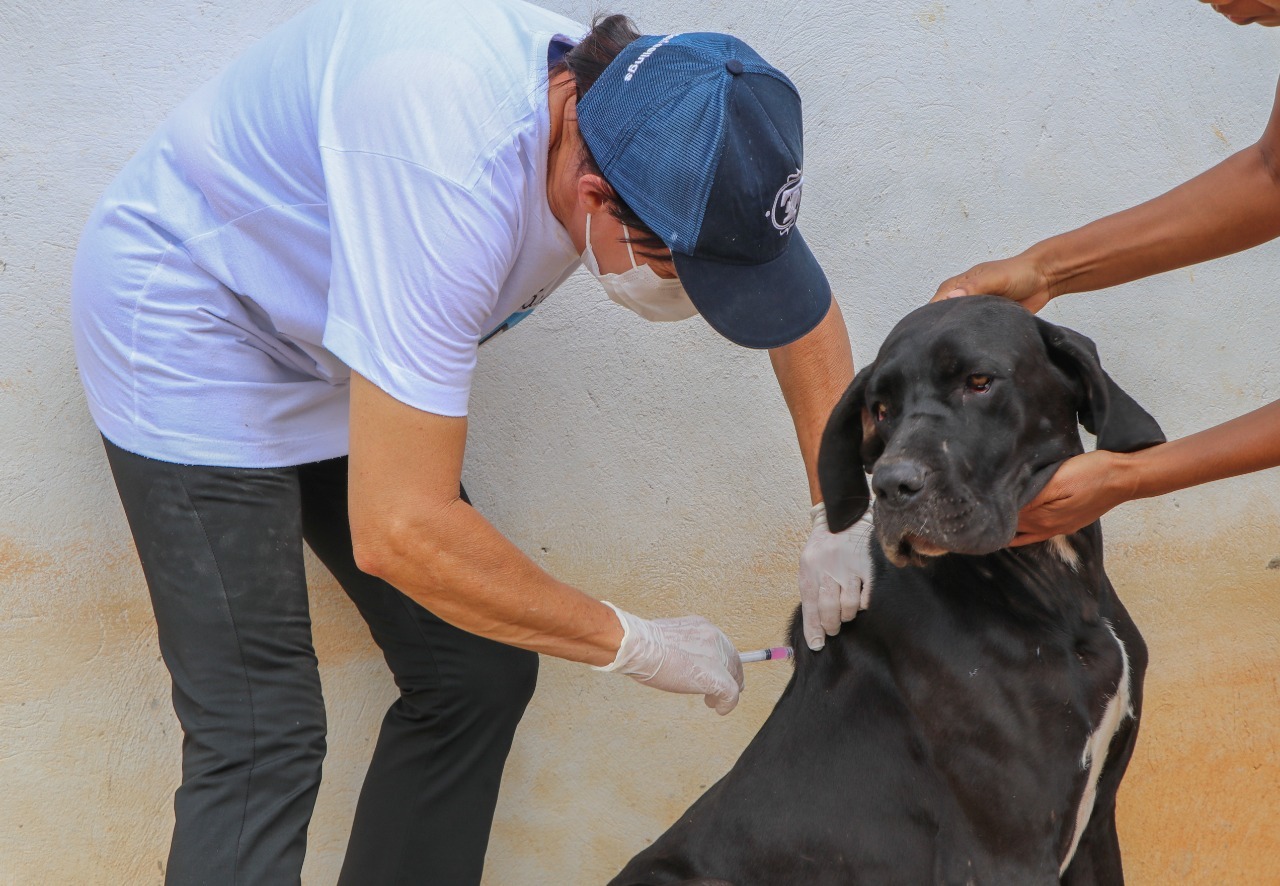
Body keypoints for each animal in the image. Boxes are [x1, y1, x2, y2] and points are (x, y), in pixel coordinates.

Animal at [614, 299, 1167, 886]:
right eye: (880, 409)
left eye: (979, 382)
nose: (890, 485)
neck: (1062, 594)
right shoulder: (1002, 854)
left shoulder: (1096, 824)